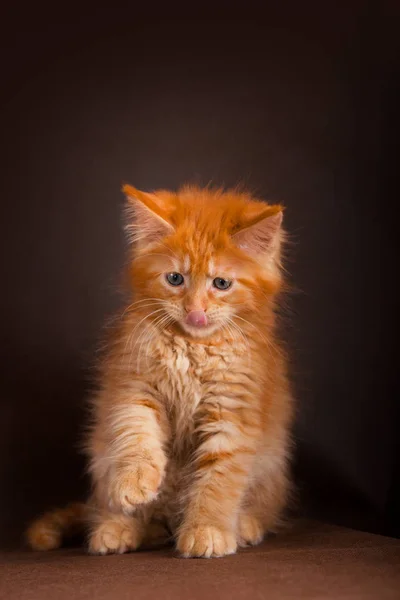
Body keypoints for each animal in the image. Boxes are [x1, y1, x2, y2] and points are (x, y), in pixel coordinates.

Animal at [25, 184, 294, 556]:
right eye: (175, 279)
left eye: (221, 284)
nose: (195, 311)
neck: (193, 347)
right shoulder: (134, 386)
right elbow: (137, 435)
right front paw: (135, 482)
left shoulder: (232, 411)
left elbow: (219, 481)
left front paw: (207, 529)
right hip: (102, 455)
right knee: (126, 509)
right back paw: (119, 528)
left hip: (270, 468)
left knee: (260, 509)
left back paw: (244, 525)